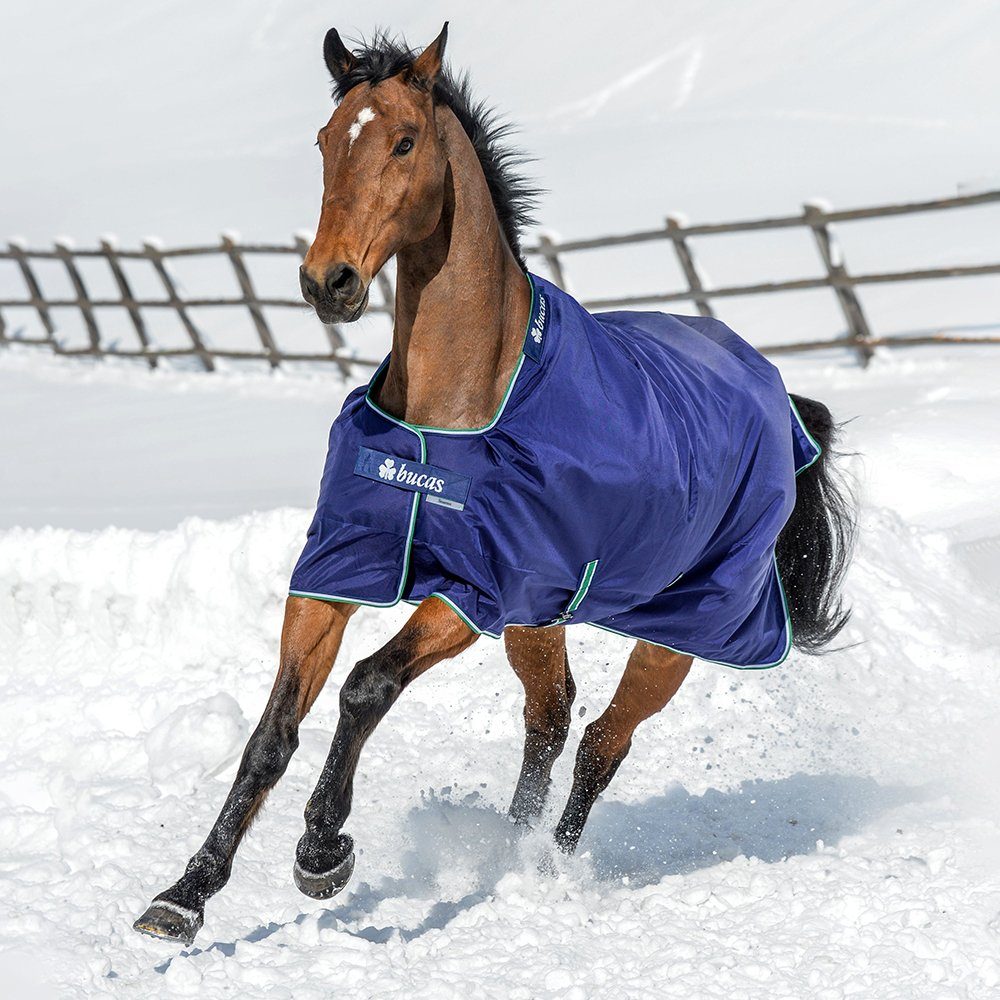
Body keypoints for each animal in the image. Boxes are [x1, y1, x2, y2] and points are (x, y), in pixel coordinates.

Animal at [134, 24, 855, 945]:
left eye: (404, 141)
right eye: (326, 142)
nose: (328, 282)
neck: (455, 414)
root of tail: (779, 394)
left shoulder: (474, 590)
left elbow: (366, 686)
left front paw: (322, 851)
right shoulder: (339, 570)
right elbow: (273, 731)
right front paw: (184, 894)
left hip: (679, 631)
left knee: (602, 742)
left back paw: (542, 869)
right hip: (542, 619)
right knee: (550, 718)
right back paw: (507, 850)